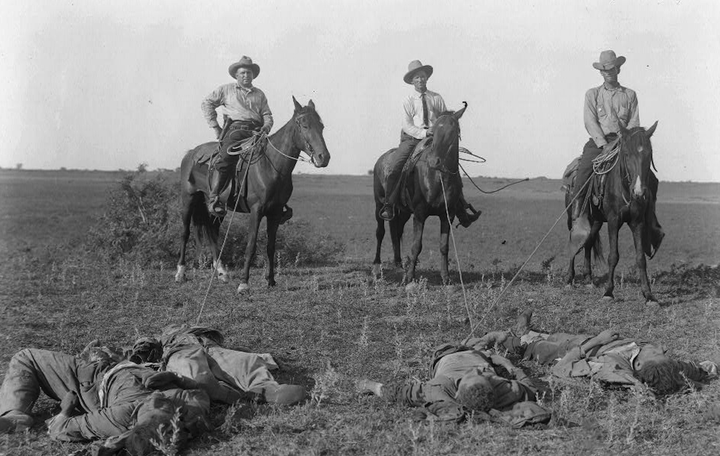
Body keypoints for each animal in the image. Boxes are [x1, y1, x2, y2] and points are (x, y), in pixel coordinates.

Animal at [176, 98, 330, 294]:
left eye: (321, 126)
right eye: (304, 125)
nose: (323, 157)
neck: (271, 166)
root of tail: (190, 153)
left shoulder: (275, 213)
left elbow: (271, 247)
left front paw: (271, 281)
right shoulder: (256, 211)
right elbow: (251, 246)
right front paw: (244, 284)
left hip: (217, 209)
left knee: (213, 233)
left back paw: (222, 272)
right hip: (188, 199)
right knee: (185, 233)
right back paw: (180, 273)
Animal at [374, 105, 470, 286]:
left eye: (453, 131)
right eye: (434, 131)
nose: (434, 161)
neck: (437, 178)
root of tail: (381, 160)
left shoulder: (448, 215)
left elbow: (444, 246)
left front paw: (446, 277)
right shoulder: (419, 214)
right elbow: (416, 245)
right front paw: (409, 277)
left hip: (403, 211)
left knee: (396, 231)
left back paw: (399, 262)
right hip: (379, 204)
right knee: (380, 232)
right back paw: (377, 265)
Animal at [564, 122, 660, 302]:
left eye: (649, 154)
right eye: (626, 153)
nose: (639, 191)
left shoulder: (637, 222)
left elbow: (640, 258)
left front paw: (648, 295)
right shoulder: (614, 221)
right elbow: (613, 256)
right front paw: (608, 292)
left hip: (595, 220)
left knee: (589, 241)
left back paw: (589, 278)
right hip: (572, 216)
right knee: (574, 239)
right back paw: (569, 279)